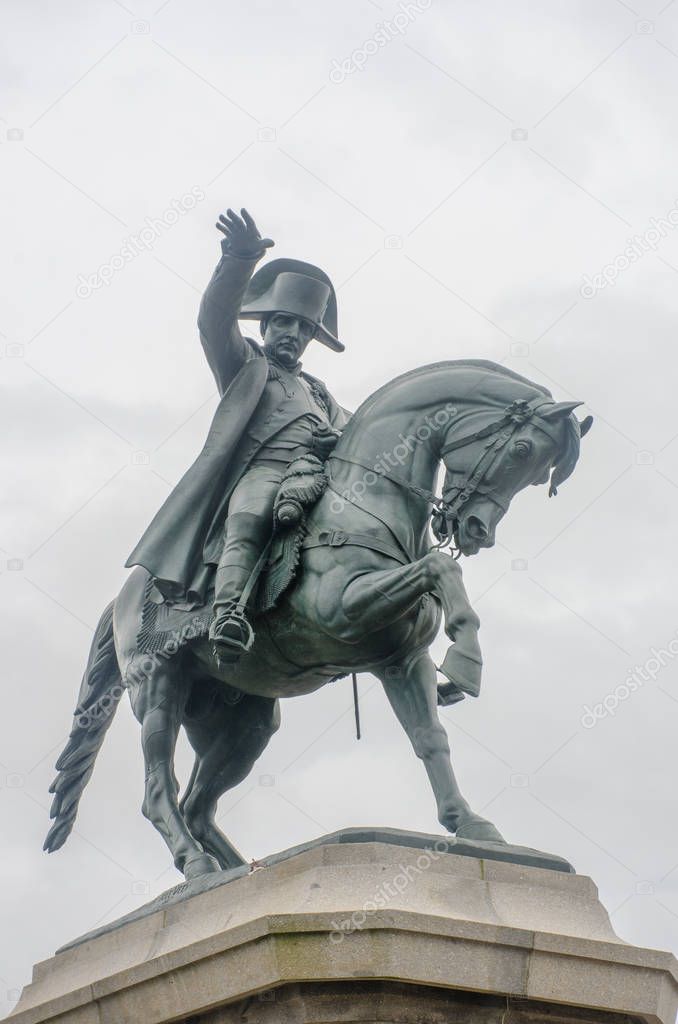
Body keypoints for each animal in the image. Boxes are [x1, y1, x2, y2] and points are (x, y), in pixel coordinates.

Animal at [45, 360, 594, 880]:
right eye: (522, 450)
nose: (477, 531)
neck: (366, 499)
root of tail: (122, 597)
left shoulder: (401, 660)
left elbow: (430, 740)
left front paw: (469, 824)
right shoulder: (346, 609)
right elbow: (442, 567)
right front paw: (465, 661)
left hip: (243, 723)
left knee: (198, 806)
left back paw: (240, 872)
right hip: (157, 689)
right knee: (159, 789)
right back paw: (196, 864)